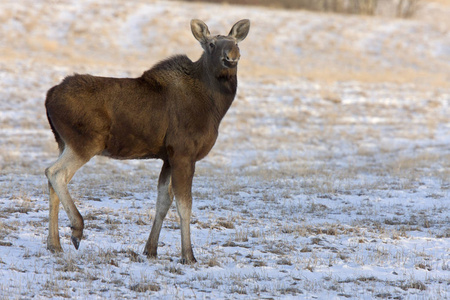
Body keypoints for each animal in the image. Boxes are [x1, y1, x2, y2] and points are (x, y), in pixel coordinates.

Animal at [44, 19, 250, 262]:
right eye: (211, 44)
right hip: (86, 142)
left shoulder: (168, 157)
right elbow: (184, 205)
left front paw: (150, 249)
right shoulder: (183, 152)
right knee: (55, 173)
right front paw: (188, 256)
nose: (232, 56)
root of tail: (48, 97)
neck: (214, 107)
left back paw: (54, 244)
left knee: (52, 181)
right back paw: (76, 229)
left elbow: (163, 202)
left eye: (236, 42)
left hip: (63, 142)